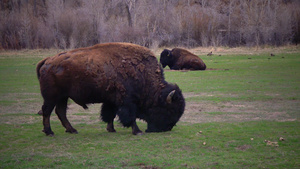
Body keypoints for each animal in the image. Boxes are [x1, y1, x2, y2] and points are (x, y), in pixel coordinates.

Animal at [36, 42, 184, 136]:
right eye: (169, 109)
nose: (168, 128)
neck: (143, 75)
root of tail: (48, 61)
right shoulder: (127, 102)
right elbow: (130, 117)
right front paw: (137, 131)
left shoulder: (112, 101)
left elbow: (110, 114)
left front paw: (111, 129)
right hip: (52, 97)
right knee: (47, 111)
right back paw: (49, 132)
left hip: (63, 97)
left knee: (60, 112)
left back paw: (72, 130)